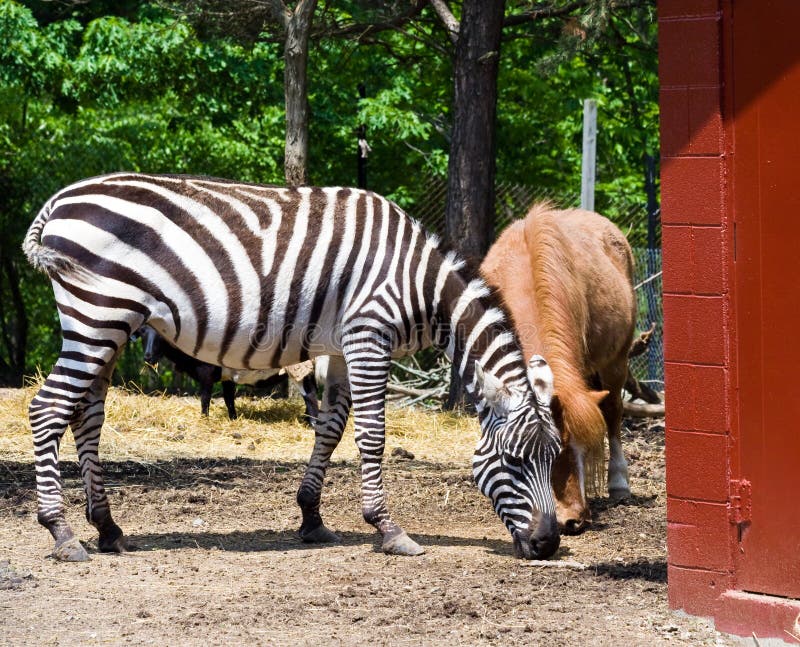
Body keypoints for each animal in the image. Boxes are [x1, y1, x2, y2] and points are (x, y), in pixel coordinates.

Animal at [23, 172, 562, 562]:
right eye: (513, 461)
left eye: (554, 459)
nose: (549, 545)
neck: (419, 284)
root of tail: (60, 200)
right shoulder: (369, 335)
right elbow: (372, 435)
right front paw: (388, 529)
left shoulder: (341, 350)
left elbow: (331, 429)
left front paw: (311, 518)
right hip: (98, 316)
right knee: (47, 409)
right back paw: (62, 533)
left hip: (108, 327)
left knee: (86, 417)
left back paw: (108, 528)